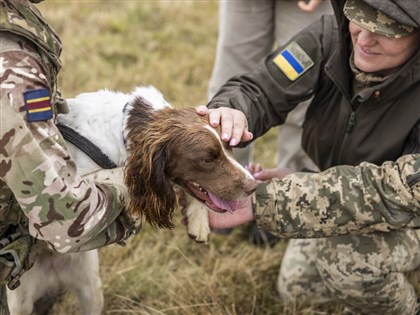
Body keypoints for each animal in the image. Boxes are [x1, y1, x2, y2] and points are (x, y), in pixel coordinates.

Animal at [6, 86, 258, 315]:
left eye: (230, 146)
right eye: (207, 158)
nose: (253, 185)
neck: (120, 133)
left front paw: (198, 222)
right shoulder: (63, 189)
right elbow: (124, 174)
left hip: (90, 288)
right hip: (20, 302)